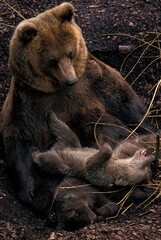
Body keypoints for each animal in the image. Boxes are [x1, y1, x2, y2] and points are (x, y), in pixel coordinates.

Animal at [0, 2, 155, 204]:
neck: (57, 87)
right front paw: (27, 190)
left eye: (70, 52)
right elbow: (20, 139)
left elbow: (125, 104)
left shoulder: (92, 79)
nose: (71, 80)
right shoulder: (29, 100)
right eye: (52, 60)